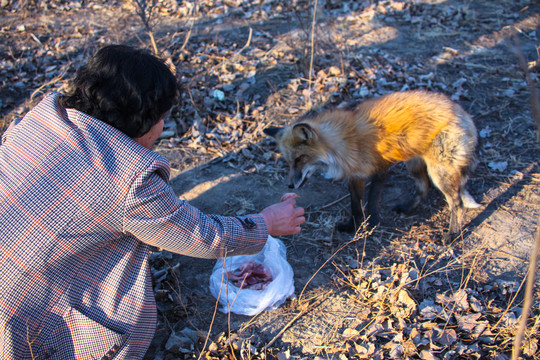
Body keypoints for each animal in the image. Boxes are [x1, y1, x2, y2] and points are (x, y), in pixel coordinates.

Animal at [264, 89, 478, 245]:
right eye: (288, 161)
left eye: (300, 158)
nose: (290, 185)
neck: (340, 142)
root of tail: (462, 112)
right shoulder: (371, 170)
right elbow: (366, 201)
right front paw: (369, 223)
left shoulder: (365, 172)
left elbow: (361, 204)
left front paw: (358, 227)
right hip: (414, 164)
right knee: (424, 188)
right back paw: (407, 208)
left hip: (439, 172)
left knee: (457, 204)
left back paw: (452, 235)